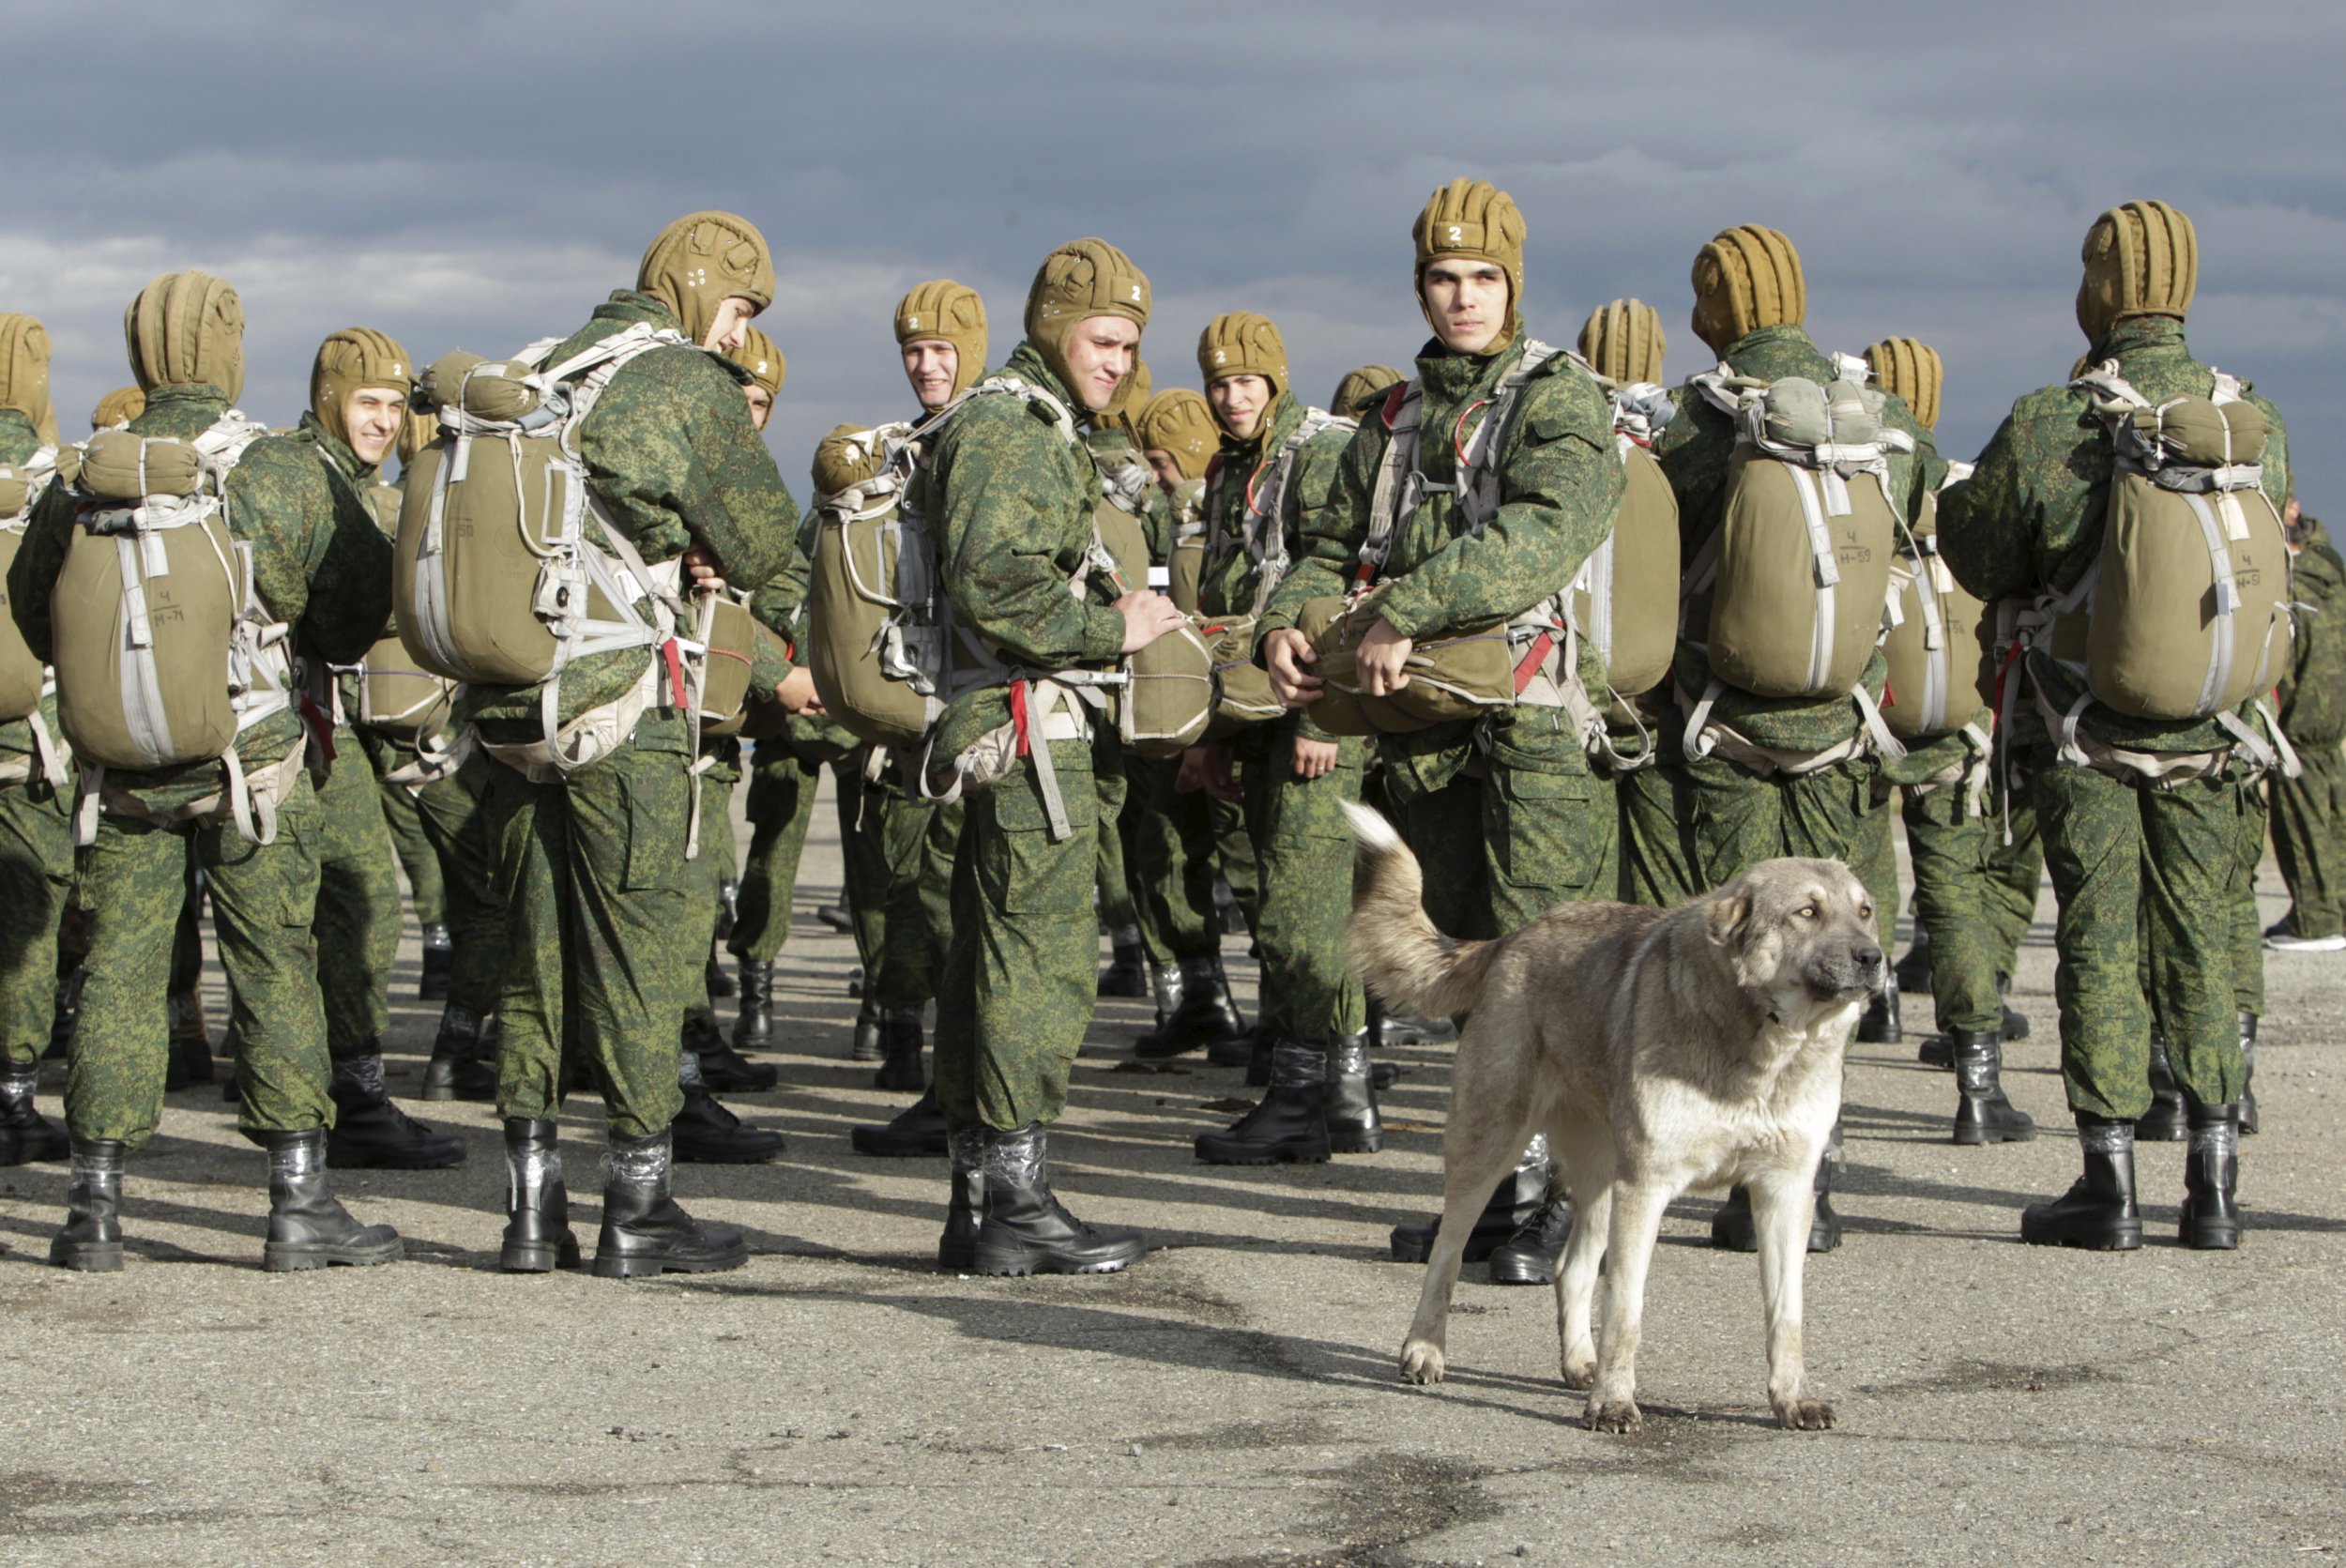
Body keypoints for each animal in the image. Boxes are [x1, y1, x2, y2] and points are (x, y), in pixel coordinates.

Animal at [1351, 807, 1877, 1436]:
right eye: (1807, 911)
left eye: (1865, 911)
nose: (1873, 958)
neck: (1765, 1045)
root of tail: (1514, 938)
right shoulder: (1646, 1189)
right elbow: (1626, 1312)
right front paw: (1614, 1402)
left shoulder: (1783, 1191)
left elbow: (1785, 1313)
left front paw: (1792, 1398)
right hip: (1491, 1149)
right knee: (1447, 1255)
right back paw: (1425, 1350)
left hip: (1601, 1177)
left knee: (1570, 1271)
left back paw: (1581, 1363)